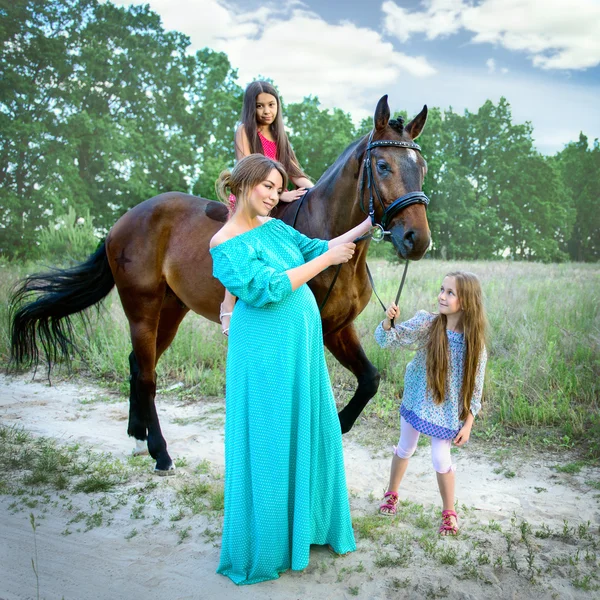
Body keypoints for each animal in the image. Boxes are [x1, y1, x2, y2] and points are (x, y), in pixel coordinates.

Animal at [10, 96, 432, 472]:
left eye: (423, 167)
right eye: (382, 165)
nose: (417, 240)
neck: (328, 237)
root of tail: (121, 222)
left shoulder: (340, 328)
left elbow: (370, 379)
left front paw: (340, 428)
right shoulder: (320, 330)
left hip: (170, 311)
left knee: (136, 365)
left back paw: (137, 438)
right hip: (142, 310)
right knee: (146, 375)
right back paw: (159, 452)